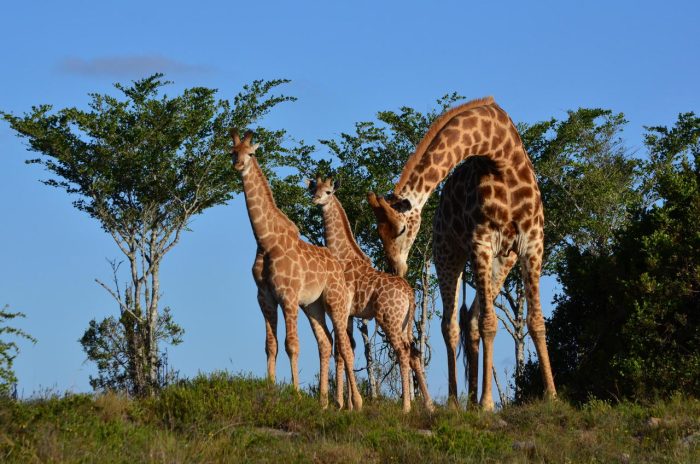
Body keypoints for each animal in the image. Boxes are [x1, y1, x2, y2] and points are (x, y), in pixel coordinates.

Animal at [232, 130, 364, 410]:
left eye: (251, 152)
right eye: (232, 152)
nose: (238, 165)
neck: (266, 240)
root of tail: (339, 267)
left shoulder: (288, 296)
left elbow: (292, 344)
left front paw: (296, 394)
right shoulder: (265, 297)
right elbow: (270, 345)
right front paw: (270, 389)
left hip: (336, 301)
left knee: (345, 347)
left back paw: (355, 403)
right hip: (313, 306)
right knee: (326, 343)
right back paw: (324, 402)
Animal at [308, 178, 434, 414]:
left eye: (328, 191)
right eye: (314, 189)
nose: (315, 199)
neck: (342, 255)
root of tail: (410, 294)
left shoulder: (341, 310)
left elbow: (341, 350)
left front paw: (342, 403)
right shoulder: (349, 314)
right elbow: (345, 351)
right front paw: (346, 403)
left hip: (389, 319)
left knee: (402, 352)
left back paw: (406, 407)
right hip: (405, 323)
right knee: (414, 353)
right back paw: (429, 405)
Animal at [366, 96, 556, 408]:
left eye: (401, 230)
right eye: (379, 234)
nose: (396, 269)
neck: (501, 155)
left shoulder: (531, 243)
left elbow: (536, 321)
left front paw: (552, 395)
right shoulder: (481, 242)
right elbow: (490, 323)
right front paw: (488, 403)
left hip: (503, 261)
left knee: (471, 320)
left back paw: (471, 402)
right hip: (447, 254)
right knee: (450, 325)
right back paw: (457, 402)